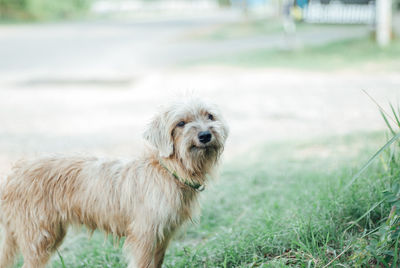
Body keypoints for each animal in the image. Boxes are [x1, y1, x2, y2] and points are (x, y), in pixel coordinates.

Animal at [0, 99, 228, 268]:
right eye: (181, 123)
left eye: (210, 116)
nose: (205, 135)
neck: (166, 171)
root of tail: (13, 175)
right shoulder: (144, 237)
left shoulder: (161, 238)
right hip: (39, 238)